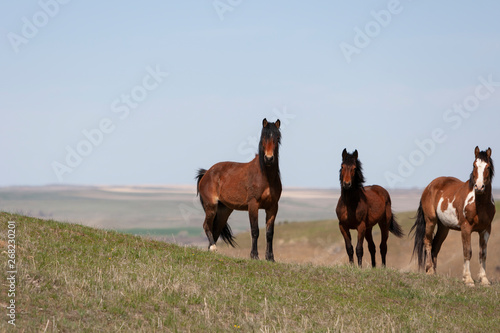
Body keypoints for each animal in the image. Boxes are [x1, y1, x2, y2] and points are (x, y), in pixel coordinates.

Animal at [195, 118, 282, 260]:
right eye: (264, 137)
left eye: (277, 137)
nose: (269, 158)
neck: (266, 177)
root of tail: (207, 173)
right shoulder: (253, 205)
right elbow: (255, 231)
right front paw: (254, 256)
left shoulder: (273, 207)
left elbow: (270, 233)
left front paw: (270, 258)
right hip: (211, 206)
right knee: (206, 225)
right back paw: (212, 248)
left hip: (224, 210)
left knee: (215, 229)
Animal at [410, 146, 496, 286]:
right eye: (474, 165)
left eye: (488, 166)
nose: (479, 187)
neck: (480, 204)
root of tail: (429, 186)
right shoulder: (466, 229)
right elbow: (467, 252)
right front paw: (468, 279)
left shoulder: (486, 229)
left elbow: (482, 254)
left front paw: (484, 280)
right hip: (430, 221)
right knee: (428, 242)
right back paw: (429, 271)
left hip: (444, 227)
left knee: (436, 246)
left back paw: (435, 272)